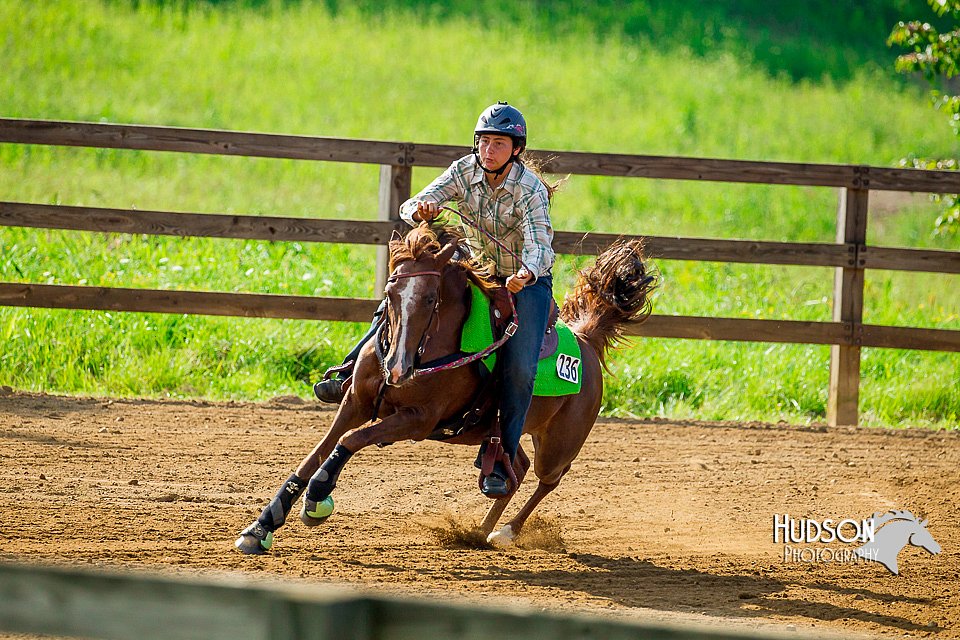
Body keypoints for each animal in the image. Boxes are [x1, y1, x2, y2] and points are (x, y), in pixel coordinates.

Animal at [235, 222, 656, 552]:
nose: (398, 368)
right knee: (513, 471)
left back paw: (505, 532)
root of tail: (585, 339)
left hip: (558, 445)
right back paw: (479, 532)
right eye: (389, 294)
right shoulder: (355, 401)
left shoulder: (419, 420)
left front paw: (318, 497)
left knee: (548, 480)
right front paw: (261, 527)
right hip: (500, 433)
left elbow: (351, 441)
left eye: (431, 299)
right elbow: (318, 452)